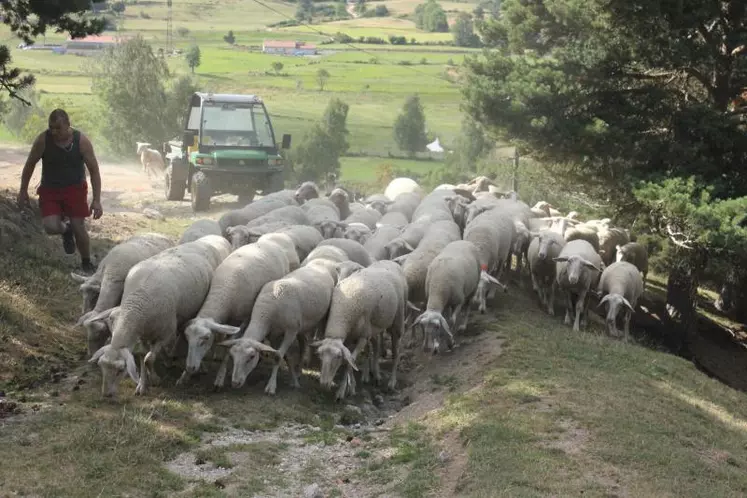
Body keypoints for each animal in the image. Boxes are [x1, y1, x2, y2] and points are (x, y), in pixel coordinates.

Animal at [86, 235, 231, 398]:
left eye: (120, 370)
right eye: (101, 365)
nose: (106, 395)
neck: (136, 306)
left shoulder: (166, 334)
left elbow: (149, 359)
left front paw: (155, 379)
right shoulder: (142, 334)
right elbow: (142, 356)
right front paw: (143, 385)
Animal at [176, 237, 292, 386]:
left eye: (206, 338)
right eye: (187, 337)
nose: (190, 367)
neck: (223, 292)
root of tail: (271, 243)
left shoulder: (243, 319)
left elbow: (230, 344)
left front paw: (220, 377)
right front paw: (184, 377)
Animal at [212, 256, 344, 392]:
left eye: (251, 357)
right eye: (232, 356)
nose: (235, 383)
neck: (266, 311)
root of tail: (323, 263)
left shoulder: (291, 331)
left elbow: (278, 356)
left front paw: (271, 386)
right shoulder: (274, 333)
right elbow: (283, 355)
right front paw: (293, 379)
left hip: (321, 318)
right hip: (302, 324)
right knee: (303, 343)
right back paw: (299, 370)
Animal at [316, 258, 410, 398]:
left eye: (338, 357)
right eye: (320, 355)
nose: (323, 385)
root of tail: (390, 262)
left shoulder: (363, 336)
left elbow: (351, 361)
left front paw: (341, 391)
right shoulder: (349, 336)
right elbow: (351, 359)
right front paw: (351, 386)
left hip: (397, 321)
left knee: (396, 352)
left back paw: (391, 382)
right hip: (375, 325)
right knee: (375, 347)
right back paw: (374, 375)